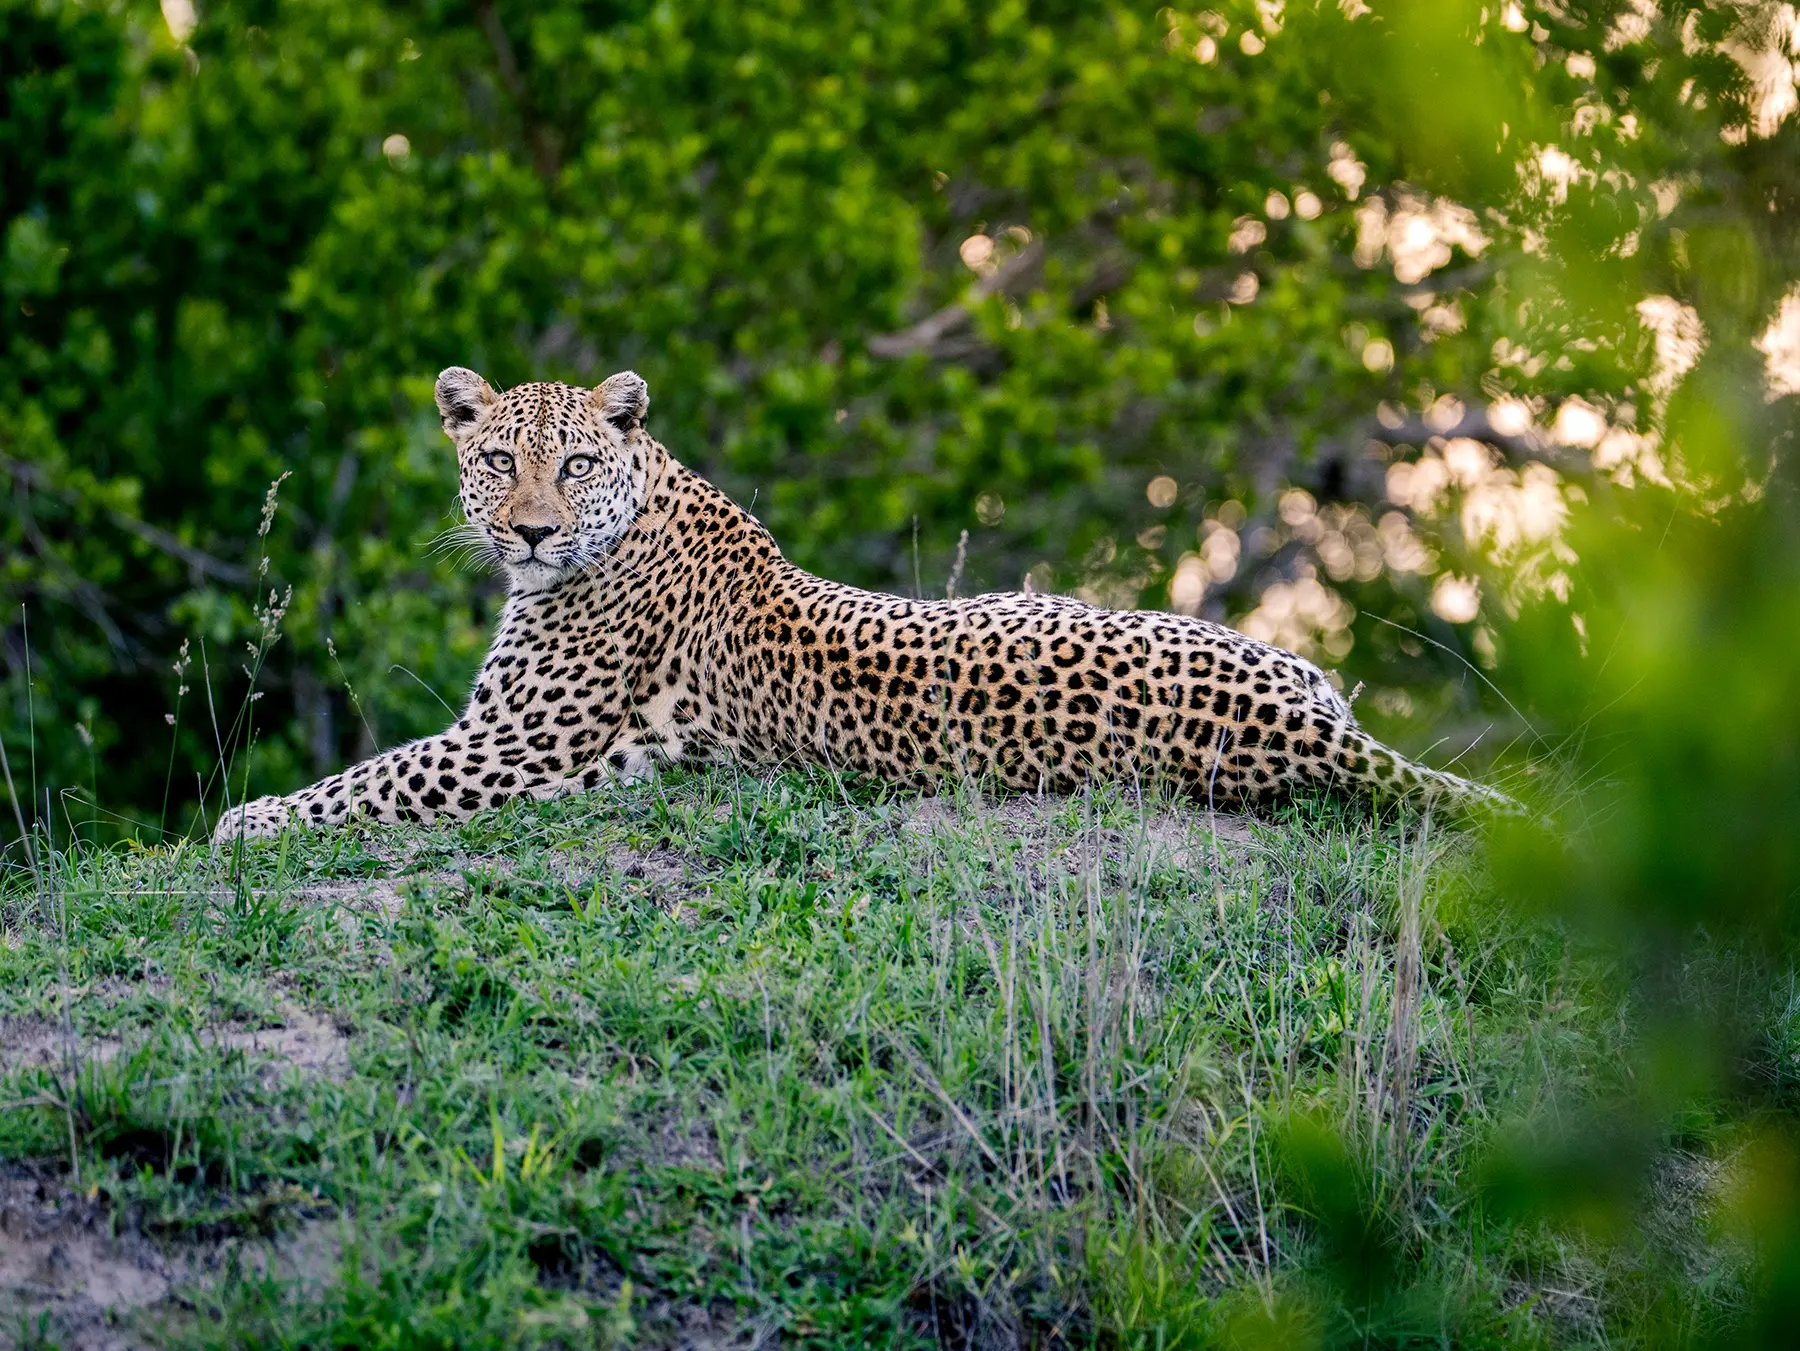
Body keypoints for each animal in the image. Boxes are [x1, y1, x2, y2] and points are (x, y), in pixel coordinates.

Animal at [212, 367, 1514, 846]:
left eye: (574, 464)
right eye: (497, 462)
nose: (529, 528)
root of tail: (1307, 728)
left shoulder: (514, 746)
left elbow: (373, 778)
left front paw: (247, 820)